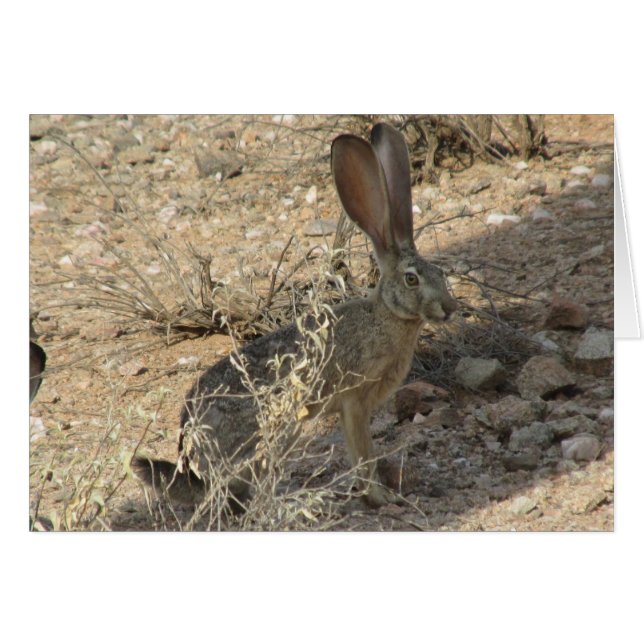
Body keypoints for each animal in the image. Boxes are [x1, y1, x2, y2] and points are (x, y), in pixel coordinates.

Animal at [134, 122, 458, 509]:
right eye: (412, 279)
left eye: (441, 272)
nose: (450, 308)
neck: (387, 317)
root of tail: (192, 442)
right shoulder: (353, 402)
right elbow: (363, 454)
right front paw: (380, 497)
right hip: (279, 429)